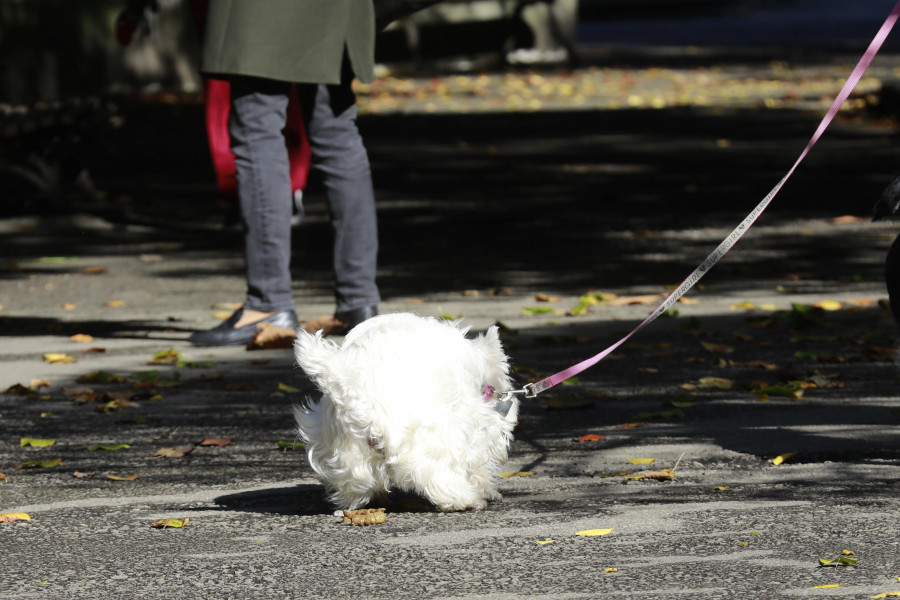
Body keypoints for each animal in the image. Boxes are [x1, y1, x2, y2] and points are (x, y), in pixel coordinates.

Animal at [296, 312, 520, 512]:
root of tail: (357, 389)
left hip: (342, 449)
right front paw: (486, 489)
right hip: (432, 433)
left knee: (356, 484)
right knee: (437, 474)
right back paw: (465, 500)